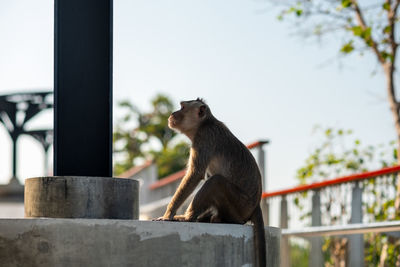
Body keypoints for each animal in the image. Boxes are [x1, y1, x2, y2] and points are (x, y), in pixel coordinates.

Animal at [156, 99, 266, 267]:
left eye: (182, 107)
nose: (172, 113)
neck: (204, 123)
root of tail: (255, 205)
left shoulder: (204, 138)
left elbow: (196, 174)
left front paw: (168, 214)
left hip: (240, 206)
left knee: (216, 181)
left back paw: (190, 217)